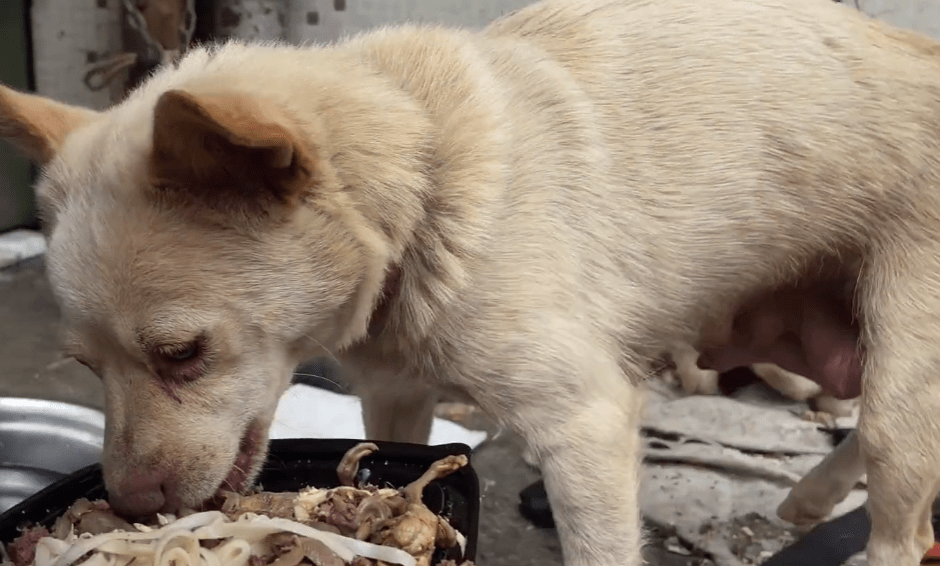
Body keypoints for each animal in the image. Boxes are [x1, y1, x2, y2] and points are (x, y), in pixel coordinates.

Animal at [1, 0, 940, 564]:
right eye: (84, 368)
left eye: (182, 352)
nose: (129, 505)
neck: (427, 177)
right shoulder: (394, 401)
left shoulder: (586, 428)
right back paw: (815, 495)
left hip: (900, 367)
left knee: (899, 509)